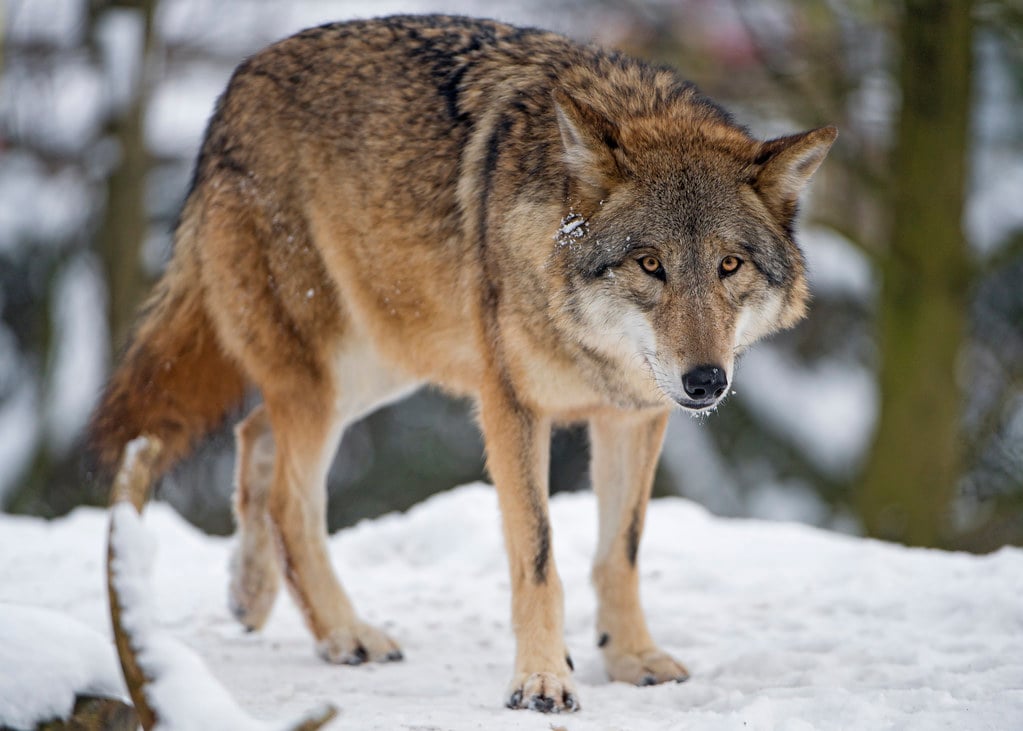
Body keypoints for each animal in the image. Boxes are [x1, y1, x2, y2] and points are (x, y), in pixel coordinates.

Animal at [89, 14, 835, 713]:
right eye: (650, 264)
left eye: (728, 265)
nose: (705, 381)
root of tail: (234, 88)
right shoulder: (511, 406)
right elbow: (538, 557)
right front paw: (541, 678)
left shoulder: (635, 414)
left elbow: (619, 551)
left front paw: (631, 658)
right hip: (332, 370)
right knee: (287, 498)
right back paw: (344, 632)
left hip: (378, 364)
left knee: (254, 434)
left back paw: (251, 593)